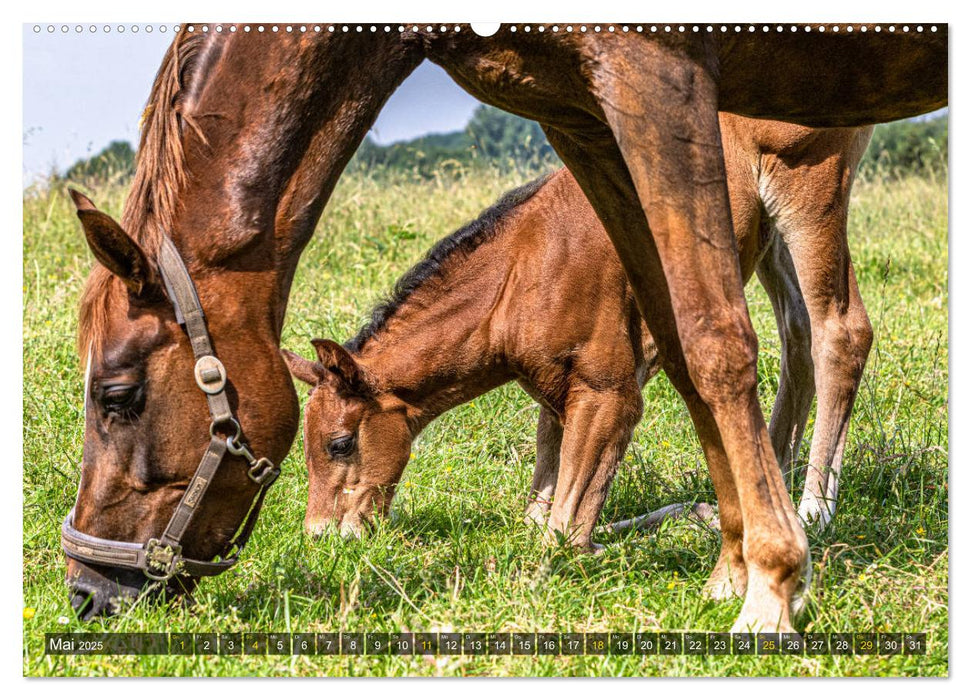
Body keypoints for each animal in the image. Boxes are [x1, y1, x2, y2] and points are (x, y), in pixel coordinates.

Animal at [286, 115, 872, 560]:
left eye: (339, 443)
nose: (321, 536)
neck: (519, 273)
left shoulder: (610, 391)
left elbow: (564, 535)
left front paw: (699, 517)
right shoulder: (556, 393)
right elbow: (540, 514)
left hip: (810, 192)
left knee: (842, 332)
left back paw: (811, 511)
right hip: (766, 237)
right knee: (796, 332)